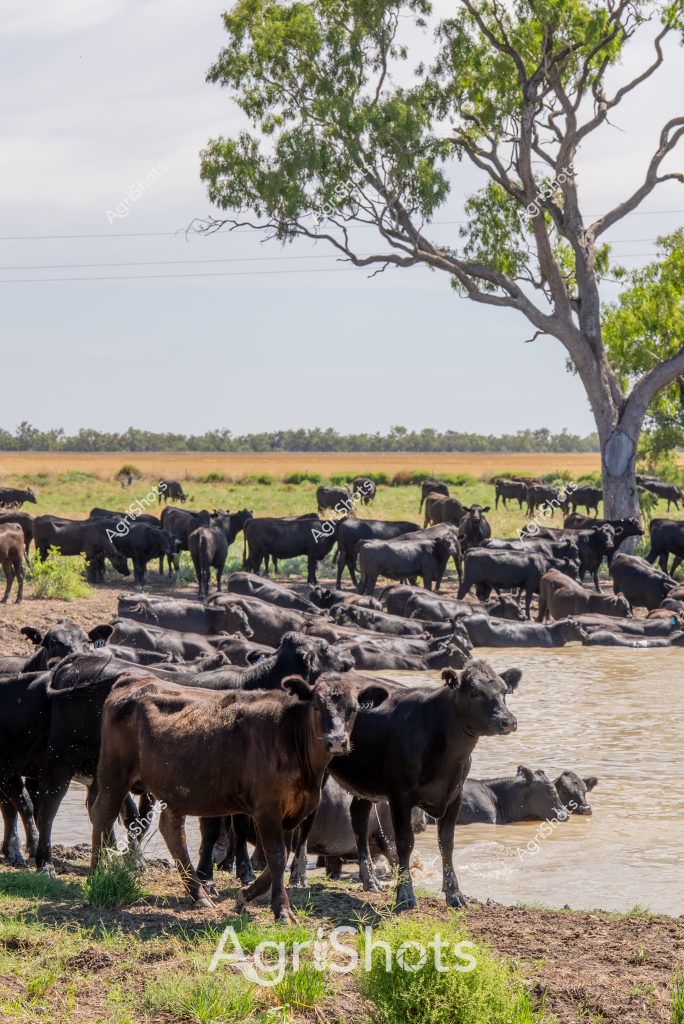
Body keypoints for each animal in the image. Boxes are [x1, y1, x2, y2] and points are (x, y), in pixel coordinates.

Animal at [90, 672, 382, 918]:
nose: (336, 741)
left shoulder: (292, 812)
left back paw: (199, 894)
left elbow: (279, 858)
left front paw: (247, 894)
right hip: (114, 773)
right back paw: (96, 873)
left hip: (174, 787)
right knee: (102, 814)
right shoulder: (267, 809)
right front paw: (282, 910)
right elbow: (277, 856)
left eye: (354, 709)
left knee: (172, 831)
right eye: (317, 706)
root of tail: (135, 679)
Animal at [290, 661, 519, 907]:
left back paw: (370, 881)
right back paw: (297, 876)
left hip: (365, 783)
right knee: (308, 820)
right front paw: (405, 893)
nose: (508, 721)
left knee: (359, 820)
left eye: (504, 692)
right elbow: (405, 841)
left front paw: (455, 894)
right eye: (475, 692)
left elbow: (446, 842)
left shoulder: (454, 794)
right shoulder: (399, 794)